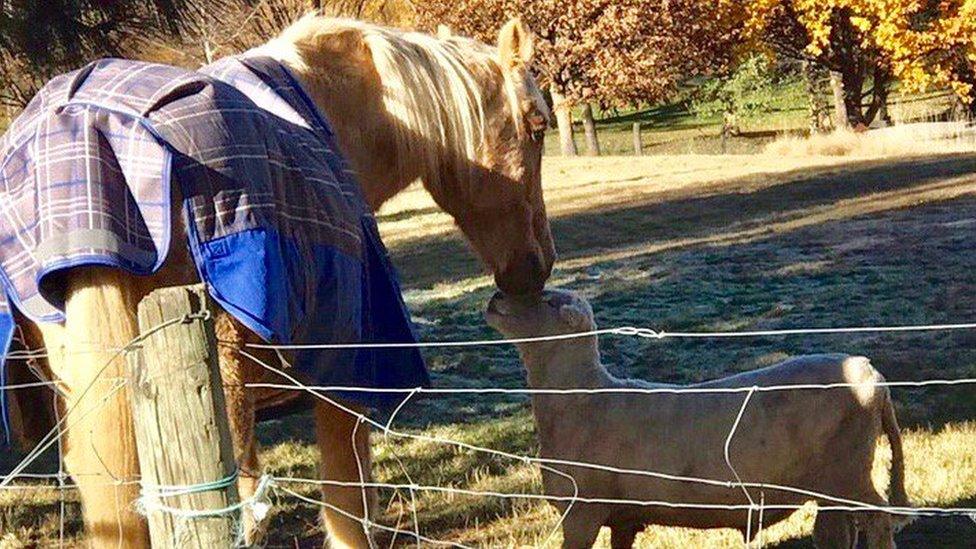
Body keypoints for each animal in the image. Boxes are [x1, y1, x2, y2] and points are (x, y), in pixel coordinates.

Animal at [486, 288, 908, 544]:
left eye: (548, 301)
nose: (494, 297)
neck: (580, 394)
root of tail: (873, 375)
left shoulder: (582, 510)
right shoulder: (624, 517)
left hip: (847, 467)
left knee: (878, 517)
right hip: (828, 482)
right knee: (838, 530)